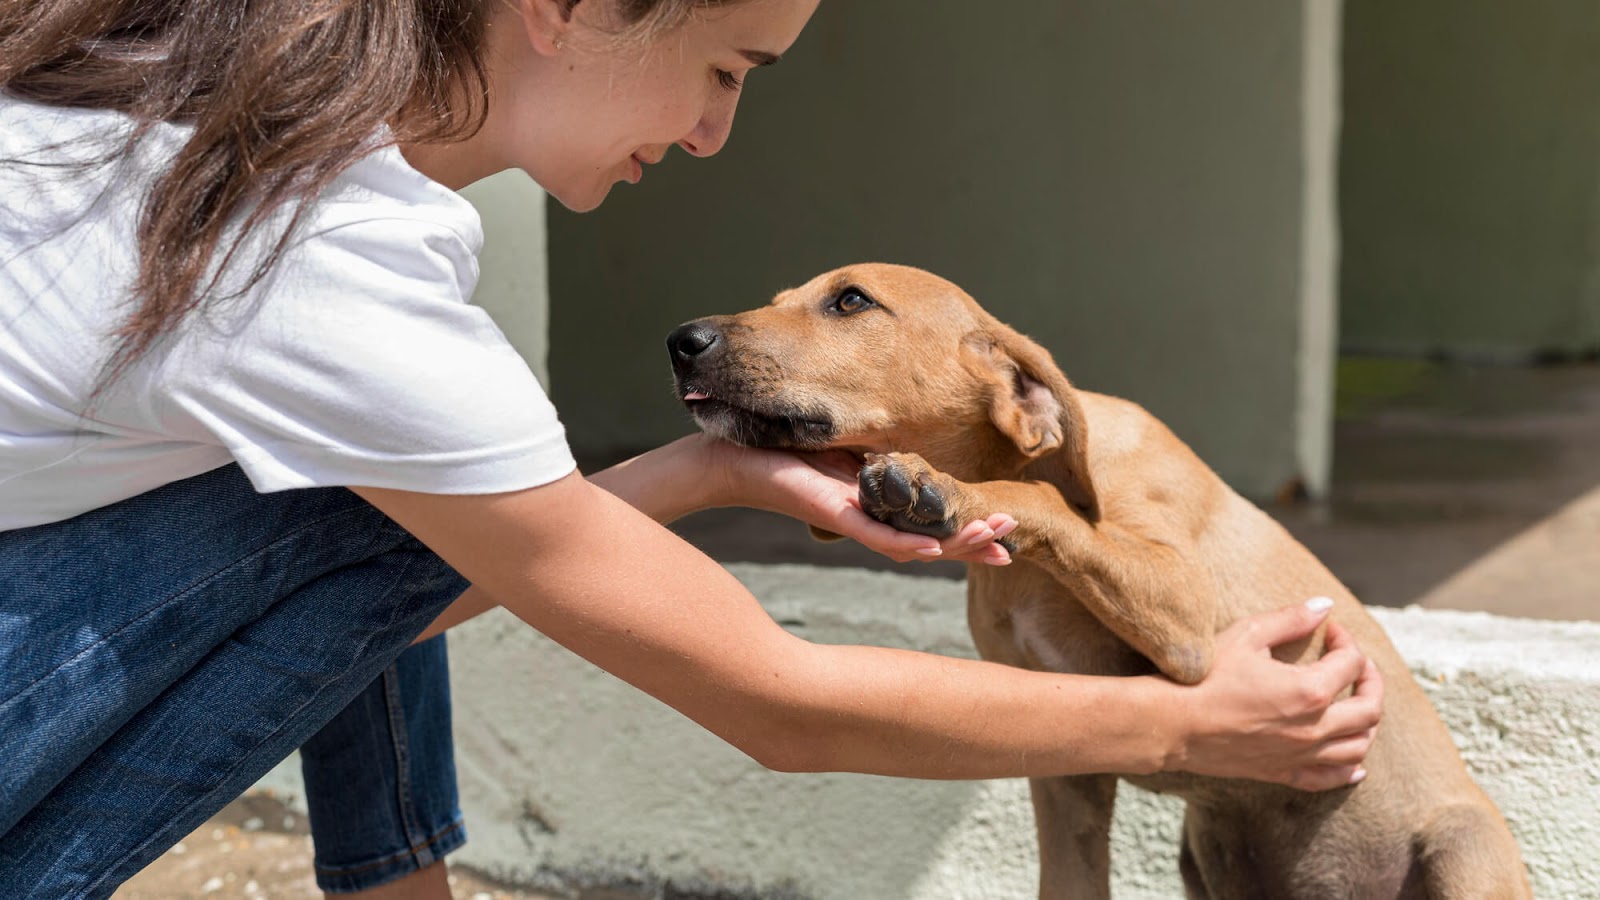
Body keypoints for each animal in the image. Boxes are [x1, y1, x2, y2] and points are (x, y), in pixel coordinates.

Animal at [668, 262, 1529, 890]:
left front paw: (940, 490)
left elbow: (1045, 500)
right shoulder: (1065, 766)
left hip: (1462, 847)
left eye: (850, 301)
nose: (681, 338)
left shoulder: (1187, 620)